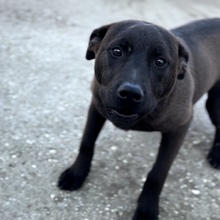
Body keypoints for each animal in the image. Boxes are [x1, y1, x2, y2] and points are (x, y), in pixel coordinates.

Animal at [58, 18, 220, 219]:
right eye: (117, 51)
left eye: (160, 62)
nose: (130, 93)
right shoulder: (96, 107)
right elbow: (87, 143)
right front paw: (77, 172)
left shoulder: (179, 129)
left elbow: (157, 173)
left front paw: (146, 208)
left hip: (215, 105)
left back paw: (216, 154)